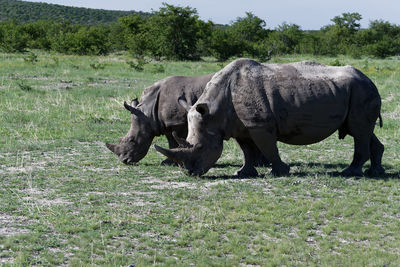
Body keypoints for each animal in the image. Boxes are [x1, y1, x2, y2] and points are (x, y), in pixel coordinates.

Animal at [106, 74, 268, 174]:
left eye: (132, 140)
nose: (124, 161)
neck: (148, 113)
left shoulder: (176, 123)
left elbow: (173, 141)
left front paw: (167, 162)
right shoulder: (166, 123)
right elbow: (172, 141)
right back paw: (260, 163)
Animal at [155, 59, 384, 179]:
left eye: (200, 148)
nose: (189, 173)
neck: (215, 112)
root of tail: (369, 78)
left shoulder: (259, 125)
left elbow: (269, 148)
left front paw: (280, 172)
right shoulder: (240, 126)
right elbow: (246, 150)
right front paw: (243, 173)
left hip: (362, 90)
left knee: (359, 131)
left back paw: (350, 173)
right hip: (358, 91)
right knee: (363, 130)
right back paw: (375, 172)